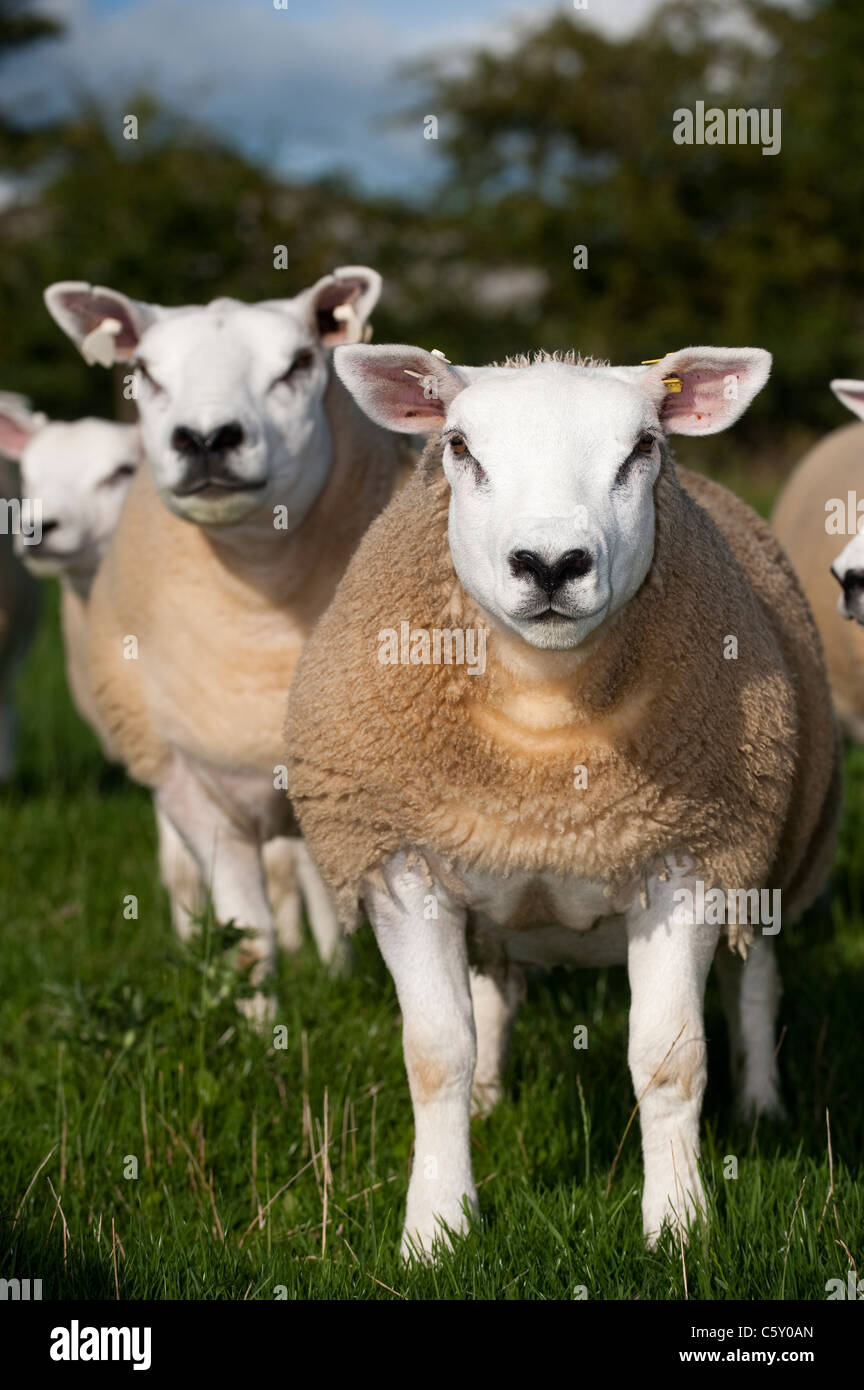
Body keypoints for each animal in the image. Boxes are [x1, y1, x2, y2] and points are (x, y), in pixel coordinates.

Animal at [44, 265, 416, 1006]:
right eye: (144, 371)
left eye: (299, 363)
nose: (208, 437)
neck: (257, 602)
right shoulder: (189, 786)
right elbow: (248, 936)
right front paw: (255, 1019)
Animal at [287, 341, 844, 1256]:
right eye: (460, 448)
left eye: (643, 449)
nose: (551, 565)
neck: (547, 748)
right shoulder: (401, 861)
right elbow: (436, 1052)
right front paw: (436, 1229)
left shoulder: (689, 856)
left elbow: (671, 1057)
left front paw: (678, 1225)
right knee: (490, 996)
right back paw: (489, 1099)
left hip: (770, 851)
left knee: (756, 984)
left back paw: (764, 1106)